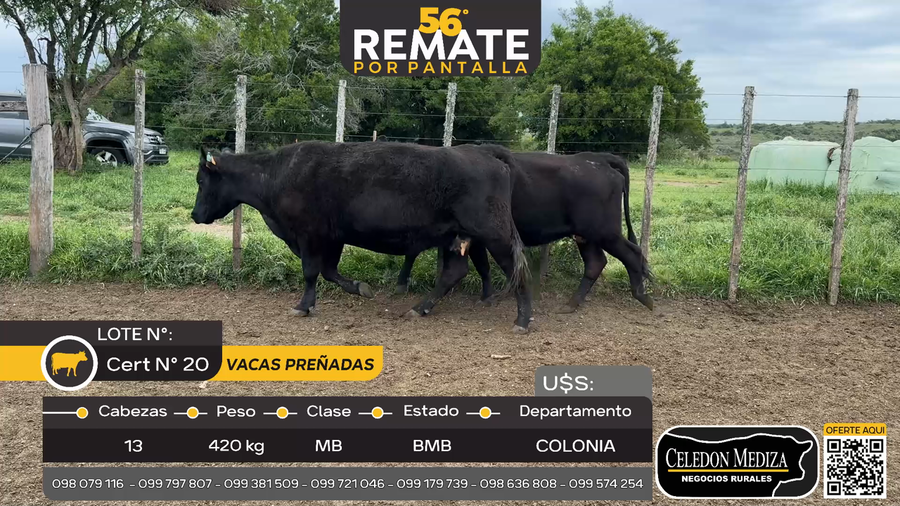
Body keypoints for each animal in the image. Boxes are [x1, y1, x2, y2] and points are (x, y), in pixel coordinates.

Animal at [190, 141, 534, 333]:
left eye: (200, 181)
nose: (194, 214)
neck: (277, 173)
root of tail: (487, 155)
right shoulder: (333, 236)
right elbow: (329, 271)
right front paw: (360, 288)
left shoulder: (310, 234)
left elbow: (311, 272)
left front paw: (303, 305)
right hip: (454, 236)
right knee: (453, 273)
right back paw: (419, 308)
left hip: (495, 234)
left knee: (517, 271)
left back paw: (523, 320)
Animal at [395, 149, 651, 313]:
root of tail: (599, 159)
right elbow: (482, 266)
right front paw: (487, 297)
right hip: (586, 235)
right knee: (596, 262)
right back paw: (571, 304)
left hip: (604, 231)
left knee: (632, 253)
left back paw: (643, 297)